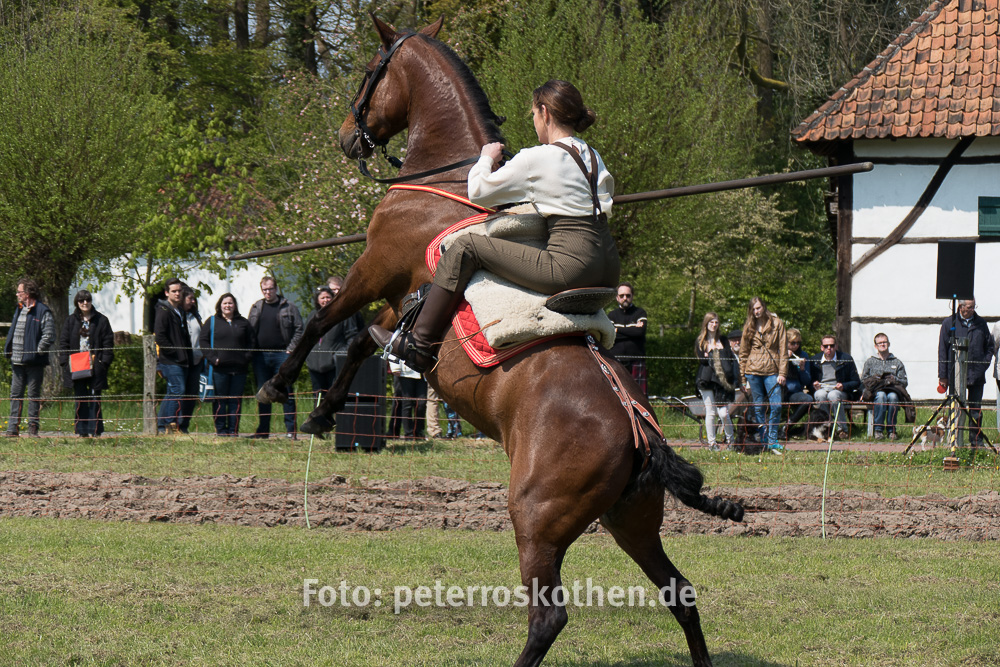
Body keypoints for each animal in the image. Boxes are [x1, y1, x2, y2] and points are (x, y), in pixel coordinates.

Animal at [258, 15, 744, 667]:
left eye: (367, 73)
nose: (345, 137)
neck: (446, 180)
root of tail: (643, 436)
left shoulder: (375, 268)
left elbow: (322, 324)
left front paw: (278, 386)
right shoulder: (400, 299)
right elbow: (363, 343)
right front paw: (323, 412)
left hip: (537, 517)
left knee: (549, 616)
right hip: (631, 523)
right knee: (680, 593)